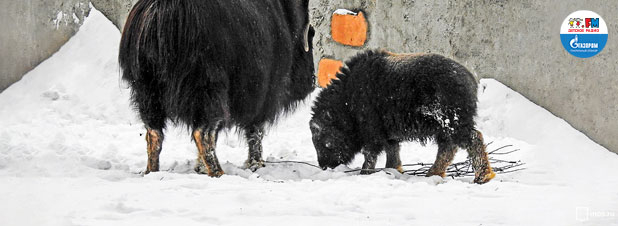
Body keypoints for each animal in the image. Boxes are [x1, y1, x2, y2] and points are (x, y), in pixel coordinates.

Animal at [118, 0, 316, 177]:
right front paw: (256, 163)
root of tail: (160, 15)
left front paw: (199, 167)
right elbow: (255, 132)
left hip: (147, 93)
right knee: (202, 133)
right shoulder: (263, 97)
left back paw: (152, 171)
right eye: (312, 34)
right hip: (206, 90)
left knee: (154, 133)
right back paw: (218, 172)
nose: (311, 82)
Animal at [310, 49, 494, 184]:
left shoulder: (372, 132)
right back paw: (433, 173)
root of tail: (469, 80)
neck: (347, 98)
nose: (325, 166)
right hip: (444, 128)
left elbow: (370, 154)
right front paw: (392, 170)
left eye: (325, 142)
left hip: (452, 123)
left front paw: (365, 173)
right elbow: (392, 151)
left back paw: (483, 176)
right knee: (447, 148)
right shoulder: (388, 134)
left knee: (473, 139)